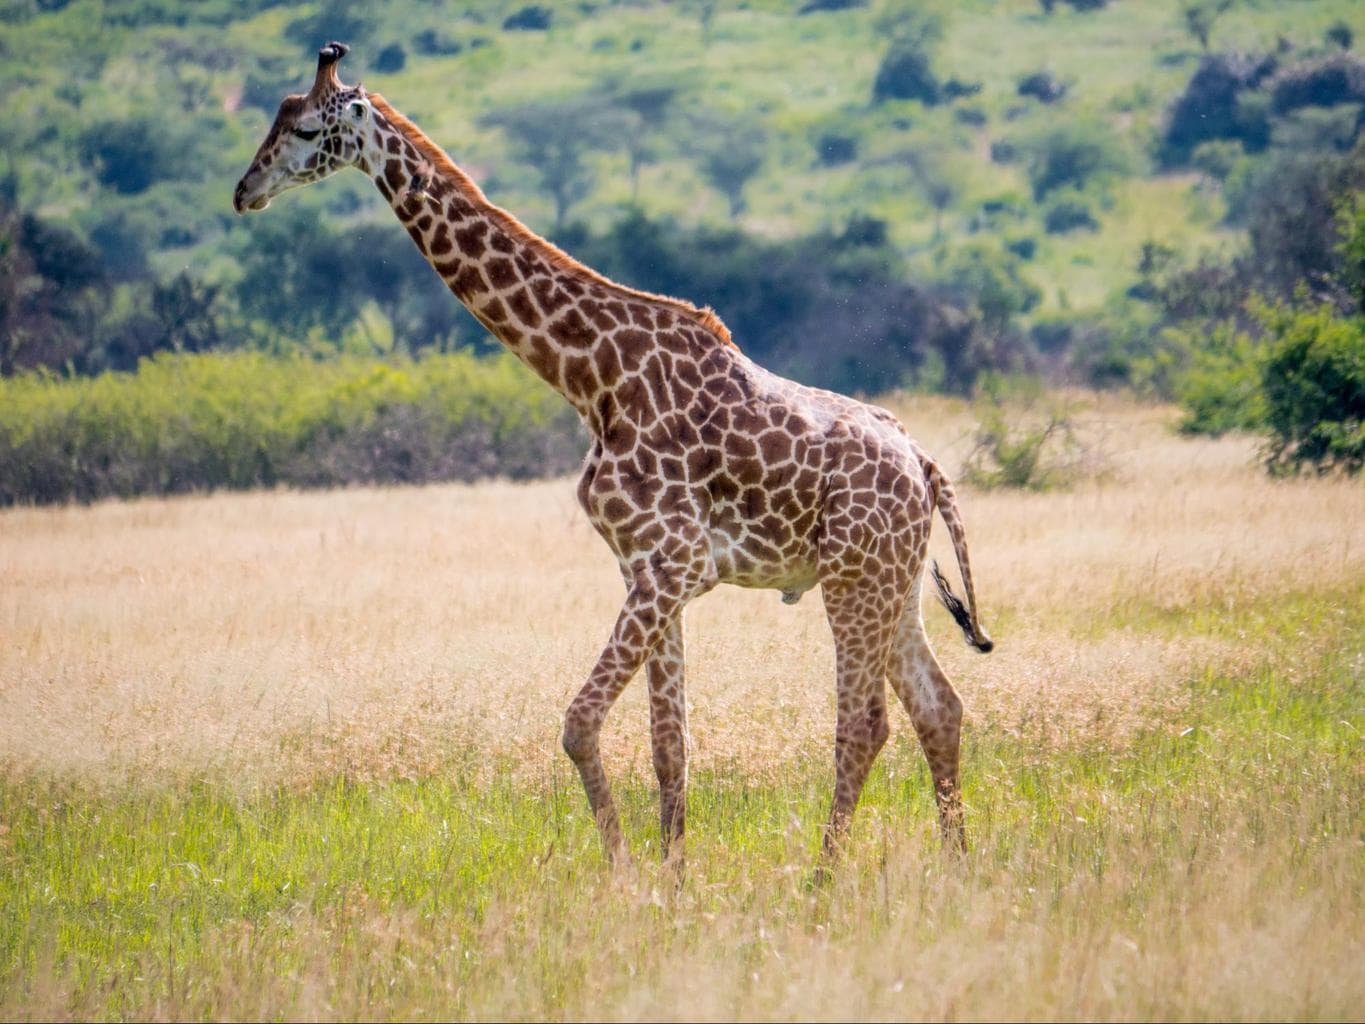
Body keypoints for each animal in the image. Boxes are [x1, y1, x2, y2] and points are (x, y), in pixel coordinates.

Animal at [237, 44, 993, 868]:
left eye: (306, 129)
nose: (244, 192)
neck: (592, 378)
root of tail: (923, 463)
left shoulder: (672, 564)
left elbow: (579, 725)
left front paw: (624, 871)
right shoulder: (647, 568)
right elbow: (670, 743)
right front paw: (672, 876)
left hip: (854, 580)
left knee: (864, 722)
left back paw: (822, 878)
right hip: (894, 585)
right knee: (941, 707)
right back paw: (957, 866)